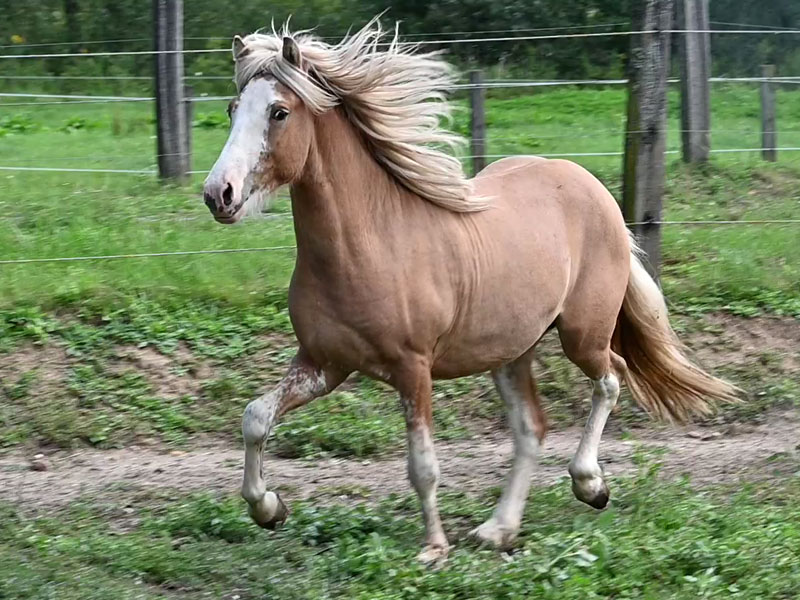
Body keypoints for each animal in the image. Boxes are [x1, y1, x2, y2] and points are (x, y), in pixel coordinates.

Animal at [202, 18, 739, 564]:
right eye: (232, 109)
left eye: (279, 111)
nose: (218, 194)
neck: (369, 244)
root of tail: (591, 187)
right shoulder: (323, 363)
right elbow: (255, 417)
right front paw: (268, 509)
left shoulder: (412, 369)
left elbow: (422, 465)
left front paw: (433, 549)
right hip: (509, 351)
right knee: (531, 428)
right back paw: (498, 529)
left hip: (582, 334)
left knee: (612, 378)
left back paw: (590, 485)